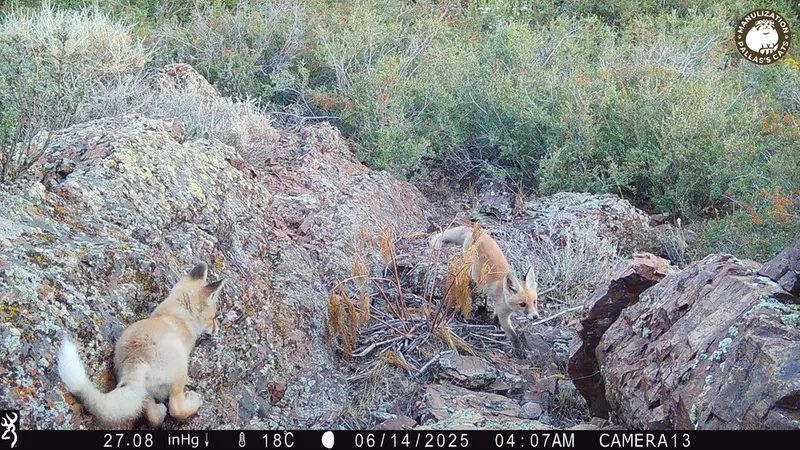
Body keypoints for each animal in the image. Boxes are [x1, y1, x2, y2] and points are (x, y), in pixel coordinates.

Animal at [56, 263, 225, 428]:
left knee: (152, 417)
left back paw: (160, 411)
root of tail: (136, 359)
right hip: (180, 372)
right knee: (175, 408)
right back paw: (193, 401)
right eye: (213, 317)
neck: (175, 316)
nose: (218, 329)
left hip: (144, 391)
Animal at [430, 225, 539, 358]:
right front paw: (519, 350)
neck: (502, 294)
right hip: (468, 262)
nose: (535, 317)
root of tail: (477, 231)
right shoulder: (503, 314)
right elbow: (513, 335)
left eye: (534, 302)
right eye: (523, 304)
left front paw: (495, 324)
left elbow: (496, 317)